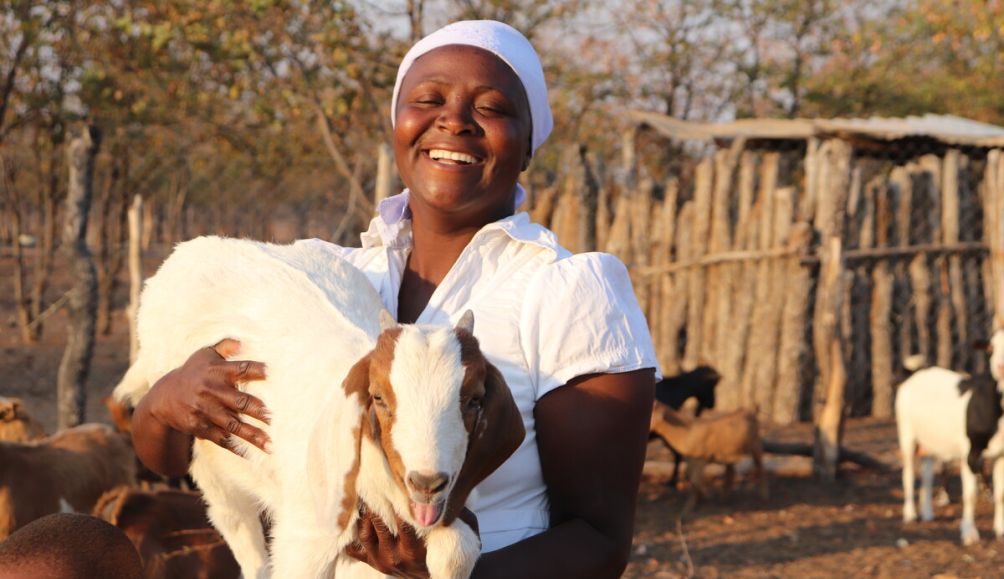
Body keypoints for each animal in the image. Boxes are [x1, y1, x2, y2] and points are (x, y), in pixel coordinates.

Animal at [113, 236, 525, 579]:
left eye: (474, 399)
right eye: (378, 397)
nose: (426, 482)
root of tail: (187, 251)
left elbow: (456, 551)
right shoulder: (305, 535)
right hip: (208, 455)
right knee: (236, 525)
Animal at [897, 332, 1004, 545]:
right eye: (991, 348)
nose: (1000, 367)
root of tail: (916, 373)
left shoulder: (1002, 453)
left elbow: (1001, 494)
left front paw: (1001, 530)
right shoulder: (971, 452)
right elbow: (970, 495)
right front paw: (969, 534)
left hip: (929, 440)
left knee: (927, 473)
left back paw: (927, 513)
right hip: (906, 433)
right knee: (908, 472)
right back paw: (910, 514)